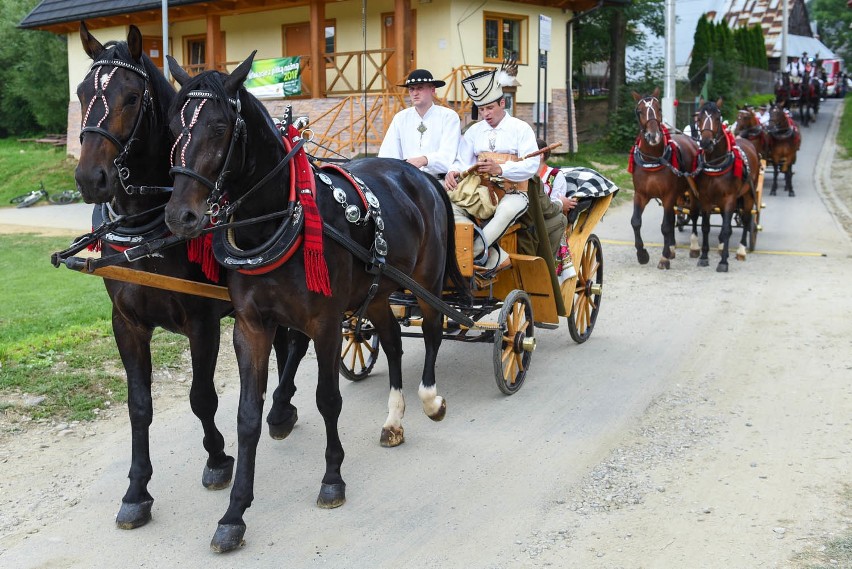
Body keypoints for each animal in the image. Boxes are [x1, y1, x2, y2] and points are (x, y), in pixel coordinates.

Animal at [72, 21, 306, 528]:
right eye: (81, 92)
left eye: (131, 97)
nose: (90, 178)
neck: (147, 228)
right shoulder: (127, 322)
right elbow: (139, 405)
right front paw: (137, 489)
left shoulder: (202, 321)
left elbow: (202, 397)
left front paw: (218, 458)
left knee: (296, 345)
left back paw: (280, 408)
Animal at [163, 52, 470, 552]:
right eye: (173, 125)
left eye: (220, 126)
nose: (179, 216)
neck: (274, 222)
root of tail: (419, 174)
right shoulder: (251, 327)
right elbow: (247, 417)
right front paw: (234, 514)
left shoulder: (324, 322)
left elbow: (328, 399)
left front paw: (332, 478)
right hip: (378, 290)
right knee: (391, 339)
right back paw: (394, 418)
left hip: (425, 280)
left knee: (431, 331)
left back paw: (429, 398)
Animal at [628, 87, 704, 268]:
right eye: (639, 111)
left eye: (659, 109)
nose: (653, 136)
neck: (653, 160)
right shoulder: (641, 194)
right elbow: (636, 221)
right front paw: (642, 254)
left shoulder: (668, 195)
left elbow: (665, 226)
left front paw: (664, 257)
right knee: (673, 217)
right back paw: (672, 248)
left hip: (691, 189)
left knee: (694, 213)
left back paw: (694, 246)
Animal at [692, 98, 760, 272]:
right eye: (699, 118)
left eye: (718, 118)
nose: (706, 142)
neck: (716, 163)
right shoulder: (705, 198)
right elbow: (706, 227)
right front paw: (704, 257)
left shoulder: (729, 198)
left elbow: (727, 229)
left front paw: (723, 262)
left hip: (748, 194)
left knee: (747, 219)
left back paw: (741, 250)